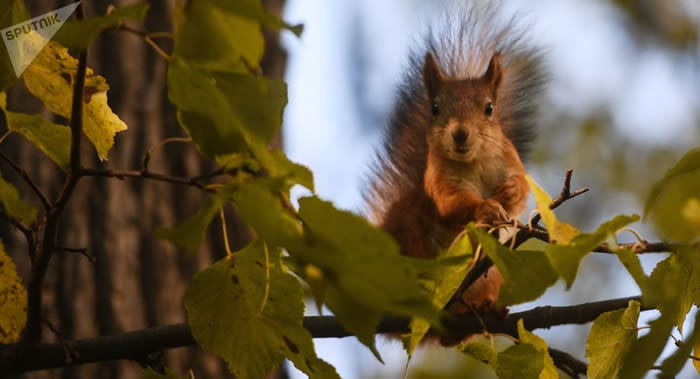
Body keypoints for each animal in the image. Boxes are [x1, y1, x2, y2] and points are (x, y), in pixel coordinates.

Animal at [364, 5, 544, 338]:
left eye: (489, 108)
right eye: (435, 107)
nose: (460, 133)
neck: (475, 162)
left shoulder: (512, 162)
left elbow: (523, 192)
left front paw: (509, 191)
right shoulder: (438, 181)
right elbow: (452, 203)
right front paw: (485, 208)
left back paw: (488, 309)